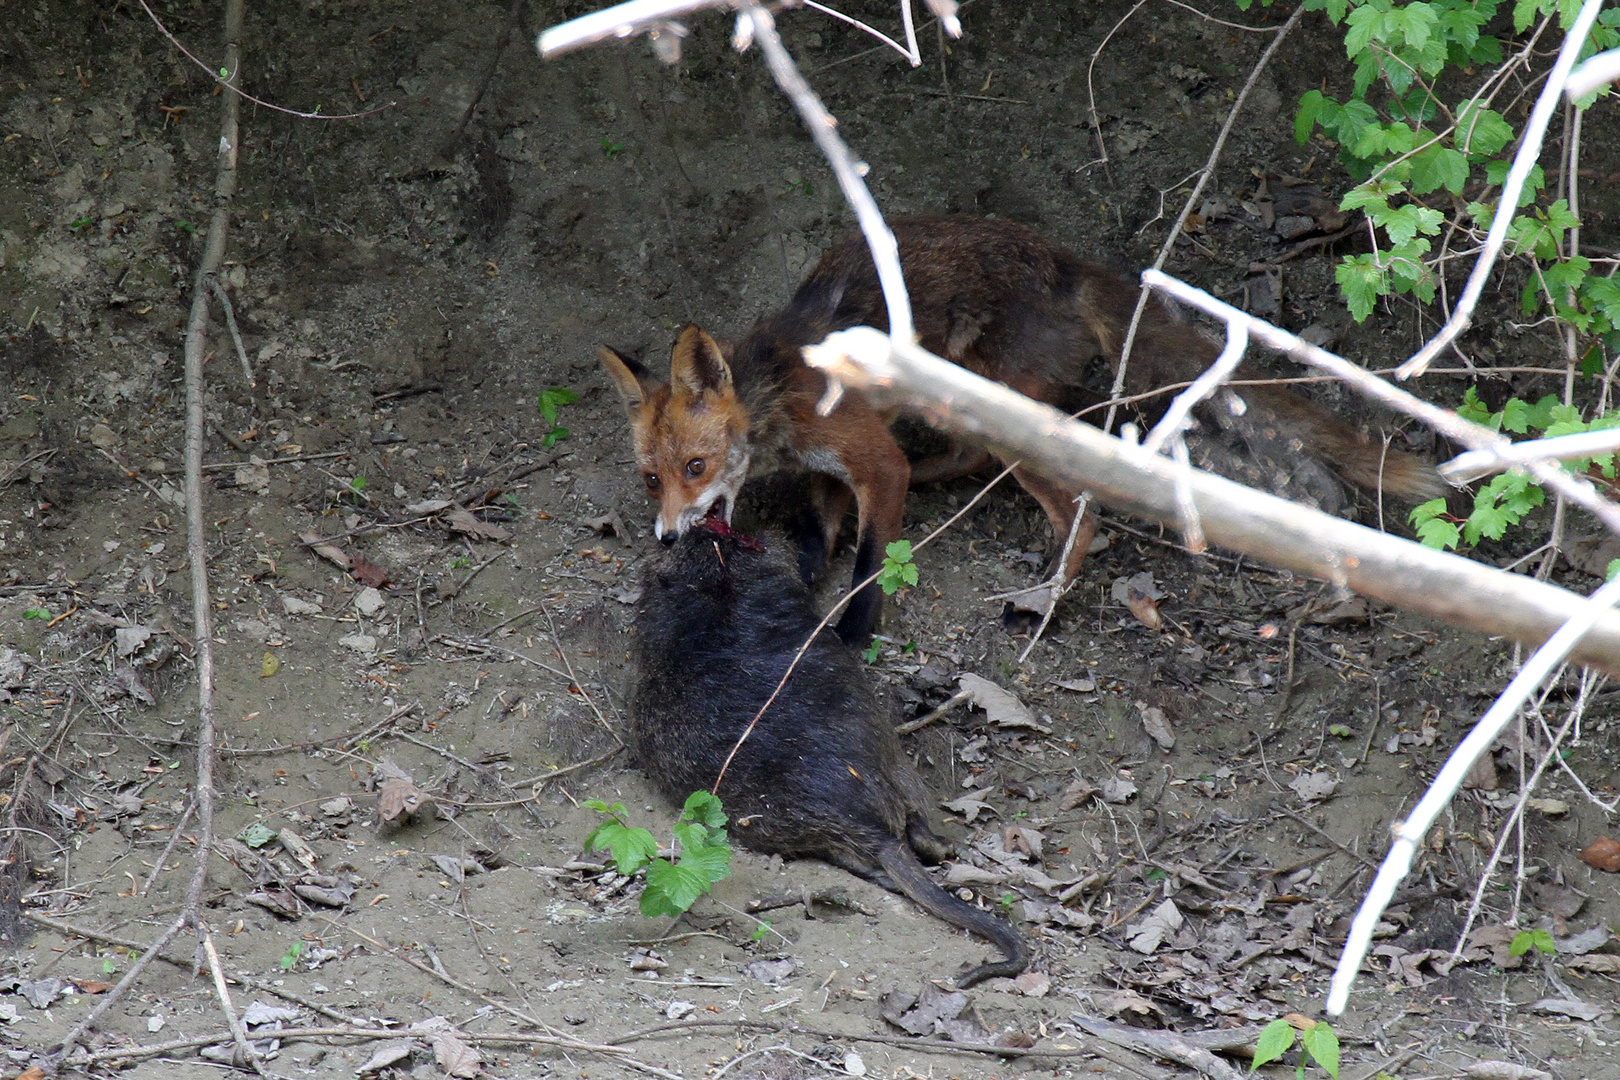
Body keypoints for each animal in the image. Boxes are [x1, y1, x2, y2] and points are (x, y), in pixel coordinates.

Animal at [599, 215, 1445, 647]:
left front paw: (852, 628)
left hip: (1004, 416)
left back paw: (1045, 600)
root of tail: (1066, 264)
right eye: (652, 476)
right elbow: (820, 515)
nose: (667, 536)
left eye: (698, 466)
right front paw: (810, 564)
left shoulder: (869, 455)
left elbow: (872, 557)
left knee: (1077, 512)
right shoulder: (836, 457)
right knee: (971, 459)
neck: (777, 392)